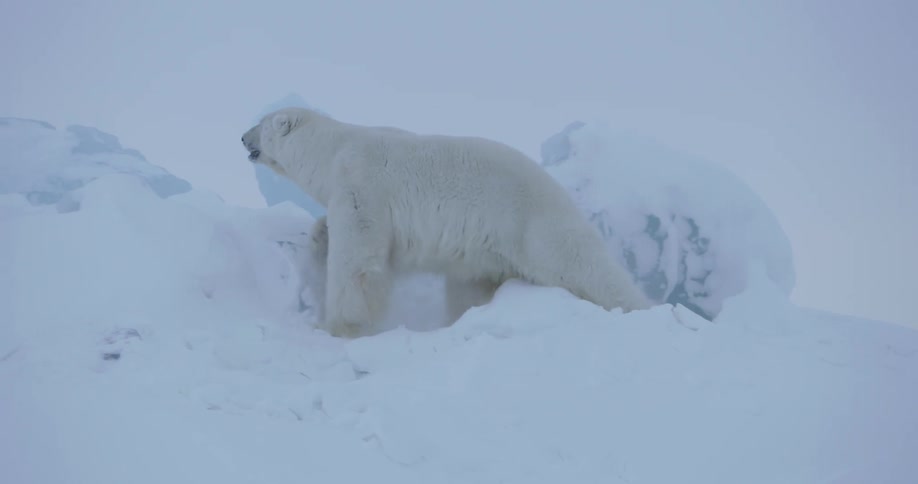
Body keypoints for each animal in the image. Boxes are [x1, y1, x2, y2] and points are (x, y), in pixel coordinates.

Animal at [241, 107, 651, 338]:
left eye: (260, 125)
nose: (242, 137)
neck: (333, 148)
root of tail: (560, 191)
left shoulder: (361, 186)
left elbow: (358, 260)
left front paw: (337, 326)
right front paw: (318, 236)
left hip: (534, 224)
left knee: (587, 268)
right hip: (490, 250)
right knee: (471, 285)